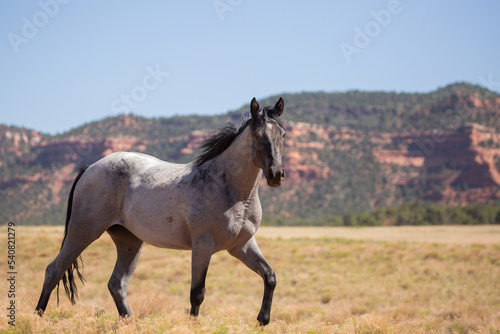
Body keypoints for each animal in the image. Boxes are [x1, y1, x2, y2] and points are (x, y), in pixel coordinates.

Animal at [35, 97, 286, 326]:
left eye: (282, 135)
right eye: (257, 135)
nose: (276, 174)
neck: (233, 192)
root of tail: (90, 168)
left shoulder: (241, 245)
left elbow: (270, 276)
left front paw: (263, 320)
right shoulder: (203, 245)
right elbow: (197, 292)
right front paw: (192, 325)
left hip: (129, 242)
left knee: (117, 284)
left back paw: (130, 323)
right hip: (82, 233)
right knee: (53, 270)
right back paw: (38, 317)